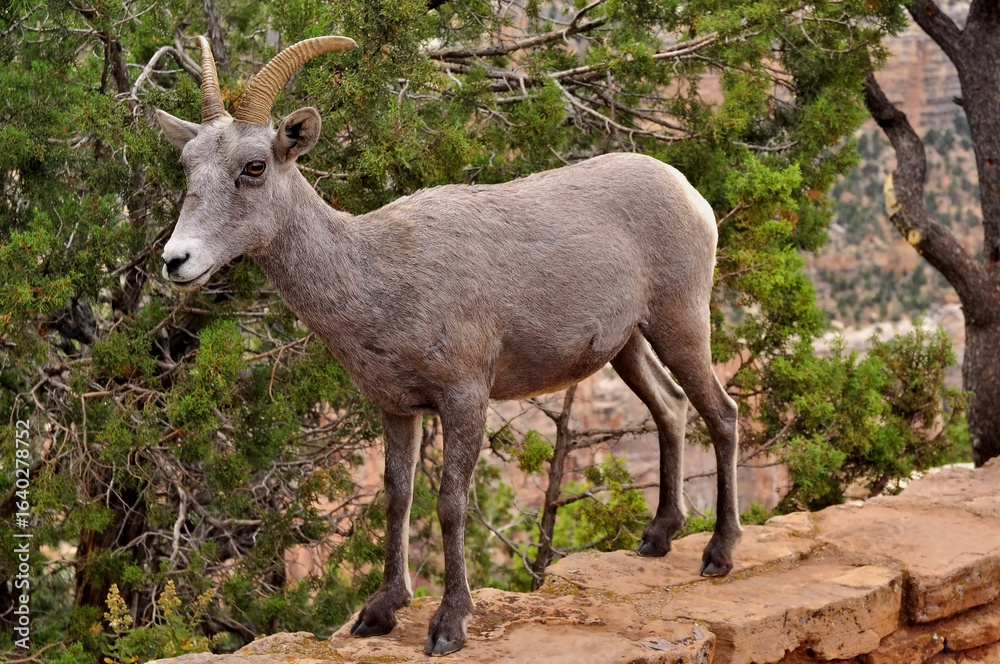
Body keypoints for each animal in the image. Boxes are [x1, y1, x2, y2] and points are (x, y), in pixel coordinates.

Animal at [156, 36, 741, 656]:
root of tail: (689, 192)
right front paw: (380, 612)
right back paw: (657, 537)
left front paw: (448, 625)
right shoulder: (396, 407)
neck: (377, 275)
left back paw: (718, 554)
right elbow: (397, 496)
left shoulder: (464, 397)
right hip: (627, 344)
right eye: (187, 165)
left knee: (721, 413)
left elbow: (450, 503)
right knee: (670, 408)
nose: (177, 260)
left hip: (681, 321)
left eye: (254, 167)